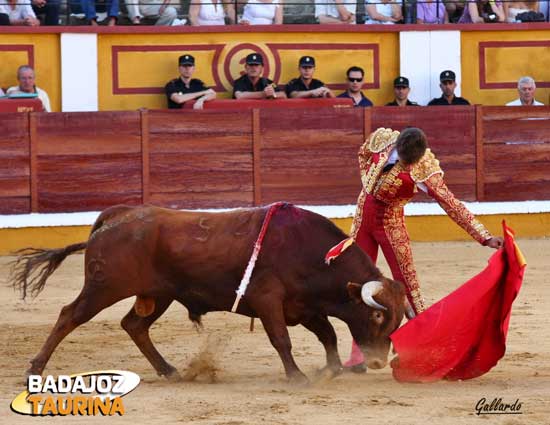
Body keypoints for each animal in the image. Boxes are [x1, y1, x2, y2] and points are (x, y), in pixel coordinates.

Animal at [9, 204, 414, 382]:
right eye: (377, 314)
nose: (378, 362)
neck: (312, 252)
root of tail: (116, 217)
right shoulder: (268, 300)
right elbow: (281, 339)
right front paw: (297, 376)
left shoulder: (305, 305)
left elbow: (328, 334)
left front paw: (330, 369)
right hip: (103, 287)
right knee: (69, 316)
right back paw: (34, 368)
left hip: (158, 295)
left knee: (134, 326)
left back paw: (170, 370)